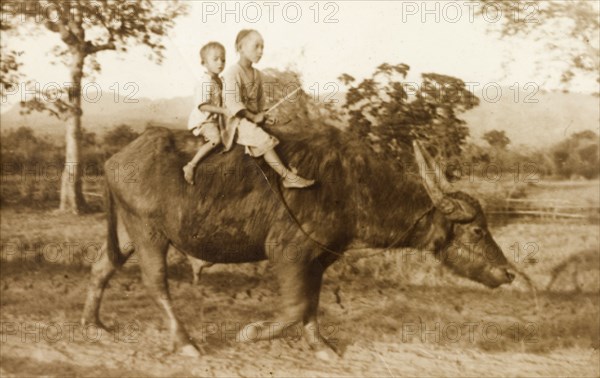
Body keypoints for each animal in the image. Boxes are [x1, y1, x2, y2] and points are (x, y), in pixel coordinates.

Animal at [81, 125, 516, 360]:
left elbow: (311, 306)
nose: (509, 272)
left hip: (128, 231)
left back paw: (93, 325)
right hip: (149, 232)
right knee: (156, 282)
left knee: (102, 266)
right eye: (477, 231)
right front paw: (250, 333)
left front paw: (321, 345)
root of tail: (116, 158)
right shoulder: (288, 253)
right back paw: (186, 343)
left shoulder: (319, 259)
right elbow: (294, 306)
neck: (352, 187)